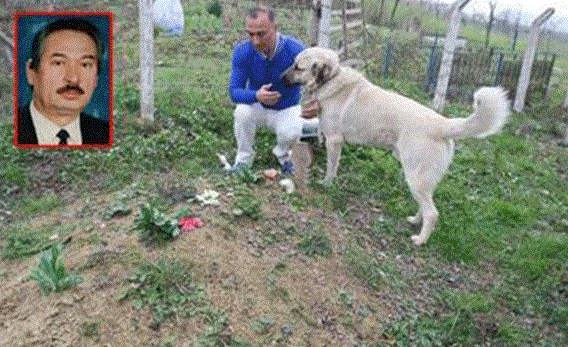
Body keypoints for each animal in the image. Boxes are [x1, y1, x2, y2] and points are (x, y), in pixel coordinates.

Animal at [284, 47, 510, 247]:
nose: (280, 77)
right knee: (425, 206)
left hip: (415, 178)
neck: (331, 79)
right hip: (422, 180)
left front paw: (327, 183)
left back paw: (420, 240)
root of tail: (443, 124)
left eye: (298, 67)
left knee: (432, 213)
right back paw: (415, 221)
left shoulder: (334, 140)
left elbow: (332, 166)